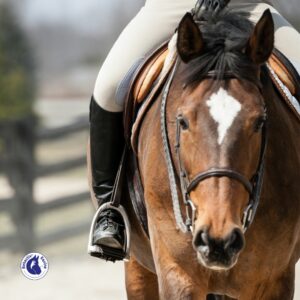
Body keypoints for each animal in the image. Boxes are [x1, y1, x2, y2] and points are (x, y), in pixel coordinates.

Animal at [87, 7, 300, 300]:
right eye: (183, 121)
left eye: (259, 122)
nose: (218, 240)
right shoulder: (178, 272)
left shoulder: (275, 280)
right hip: (139, 268)